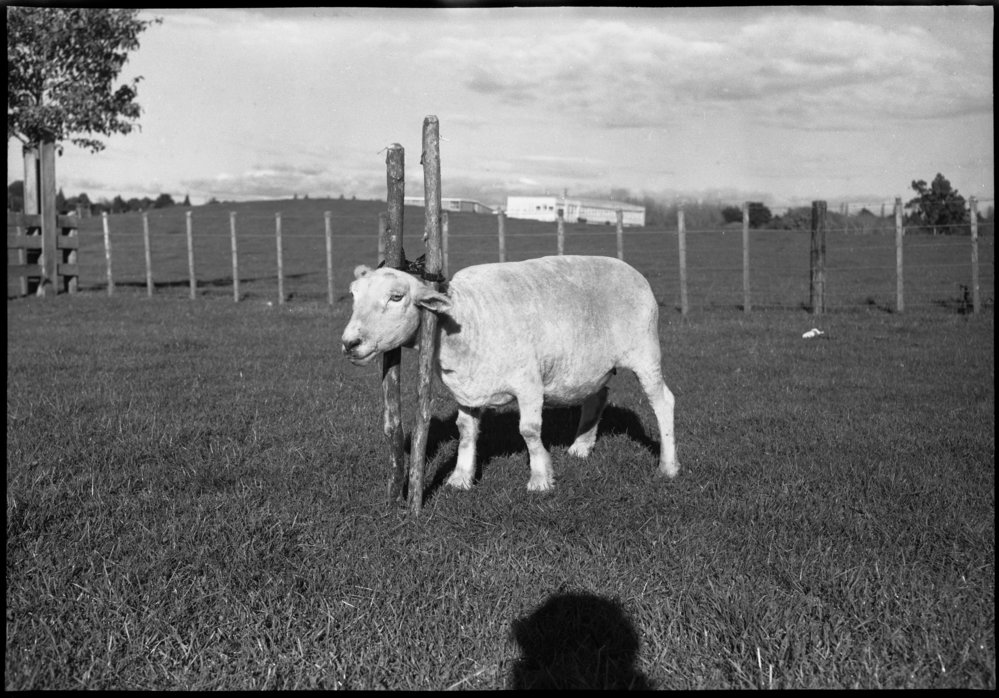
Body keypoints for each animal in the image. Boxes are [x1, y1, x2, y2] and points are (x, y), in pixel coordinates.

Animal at [341, 254, 678, 491]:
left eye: (396, 297)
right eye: (354, 295)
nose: (349, 343)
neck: (465, 318)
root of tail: (629, 269)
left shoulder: (528, 381)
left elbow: (528, 430)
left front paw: (541, 478)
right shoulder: (466, 388)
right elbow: (465, 431)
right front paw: (460, 478)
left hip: (645, 352)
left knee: (663, 402)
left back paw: (668, 465)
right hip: (589, 365)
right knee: (597, 396)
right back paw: (581, 447)